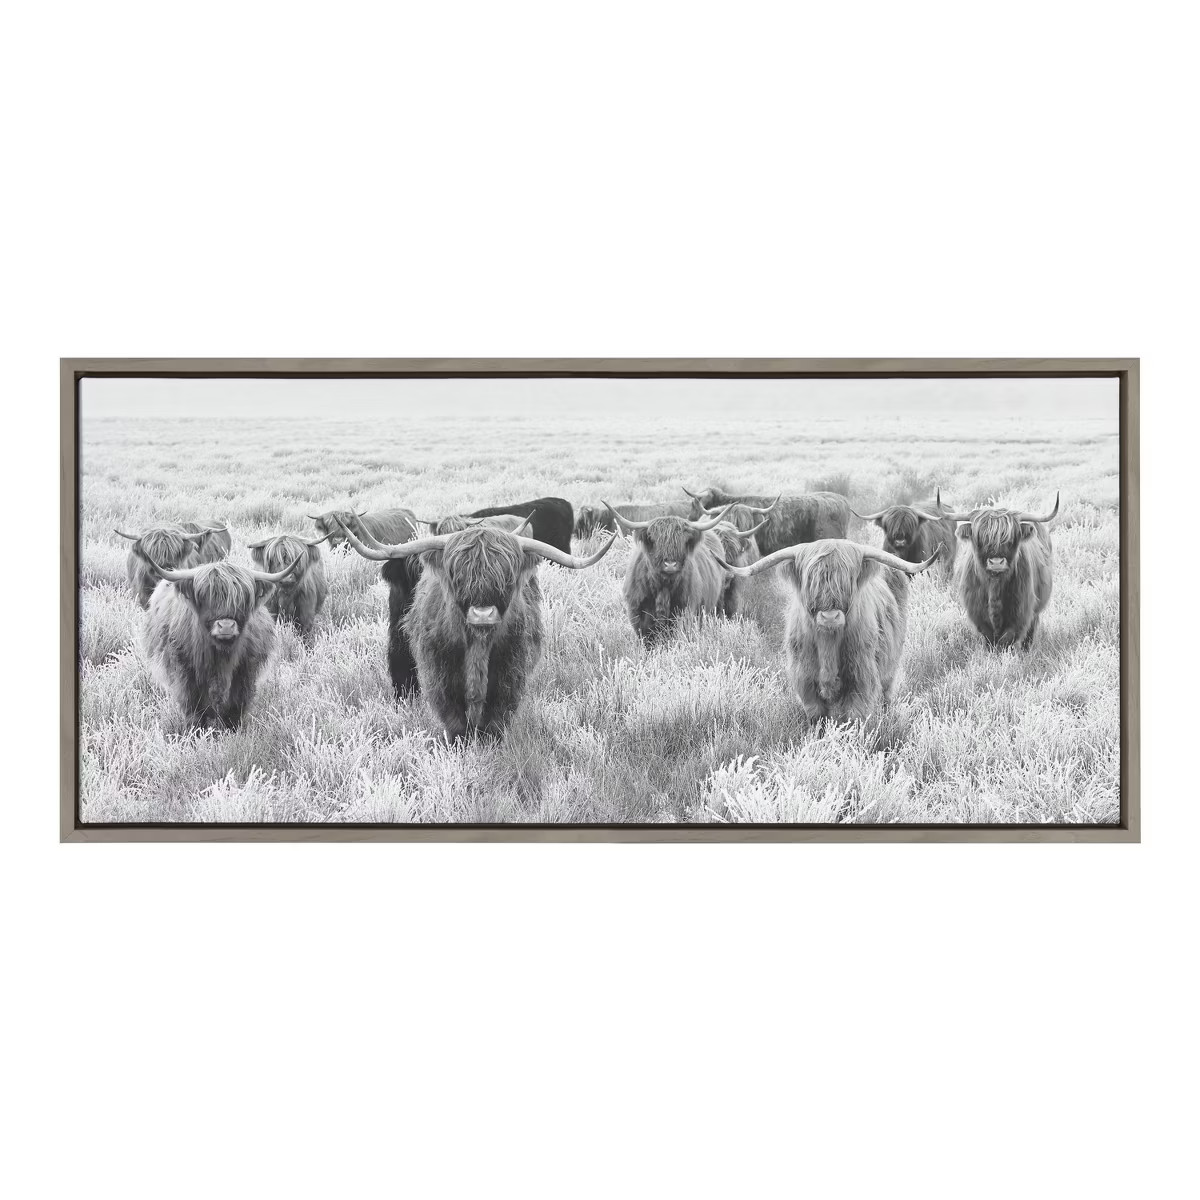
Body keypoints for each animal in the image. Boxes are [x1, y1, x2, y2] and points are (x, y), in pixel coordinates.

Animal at [140, 554, 305, 730]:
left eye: (243, 599)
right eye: (204, 596)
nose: (226, 626)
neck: (221, 657)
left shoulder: (246, 671)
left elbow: (237, 705)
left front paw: (232, 729)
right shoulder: (184, 672)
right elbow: (193, 706)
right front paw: (196, 730)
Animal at [341, 523, 616, 739]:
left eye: (506, 576)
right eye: (457, 574)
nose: (482, 614)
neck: (478, 645)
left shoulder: (510, 674)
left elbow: (496, 719)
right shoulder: (440, 675)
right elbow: (455, 720)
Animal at [603, 502, 736, 643]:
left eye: (683, 541)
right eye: (655, 540)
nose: (670, 564)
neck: (664, 587)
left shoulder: (684, 611)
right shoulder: (639, 615)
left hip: (717, 603)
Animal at [718, 538, 941, 721]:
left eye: (848, 580)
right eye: (811, 580)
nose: (830, 617)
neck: (828, 644)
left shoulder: (861, 679)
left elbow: (854, 719)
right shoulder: (806, 681)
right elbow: (818, 718)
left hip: (890, 666)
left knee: (886, 693)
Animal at [943, 494, 1059, 649]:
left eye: (1011, 538)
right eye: (979, 538)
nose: (996, 563)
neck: (994, 585)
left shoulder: (1021, 613)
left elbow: (1006, 640)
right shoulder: (978, 616)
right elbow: (990, 640)